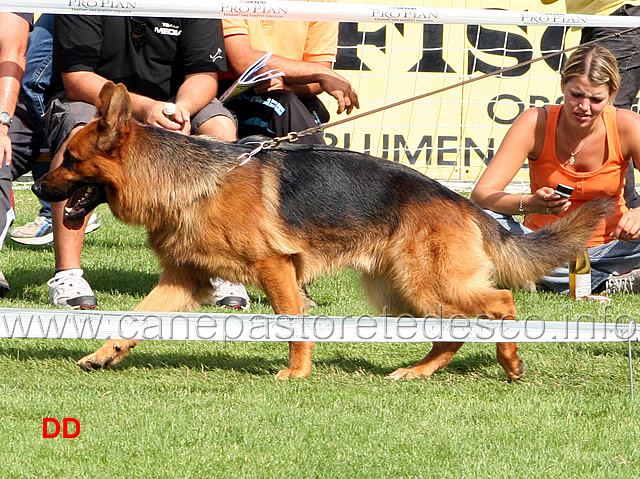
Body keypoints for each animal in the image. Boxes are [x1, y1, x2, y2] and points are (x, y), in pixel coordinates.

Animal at [33, 83, 608, 382]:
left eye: (71, 160)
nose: (37, 184)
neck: (190, 183)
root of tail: (463, 204)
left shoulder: (275, 269)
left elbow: (293, 324)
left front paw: (296, 373)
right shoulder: (183, 281)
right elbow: (136, 319)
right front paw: (104, 353)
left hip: (426, 284)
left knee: (501, 302)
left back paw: (509, 360)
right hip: (399, 293)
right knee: (454, 329)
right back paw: (419, 371)